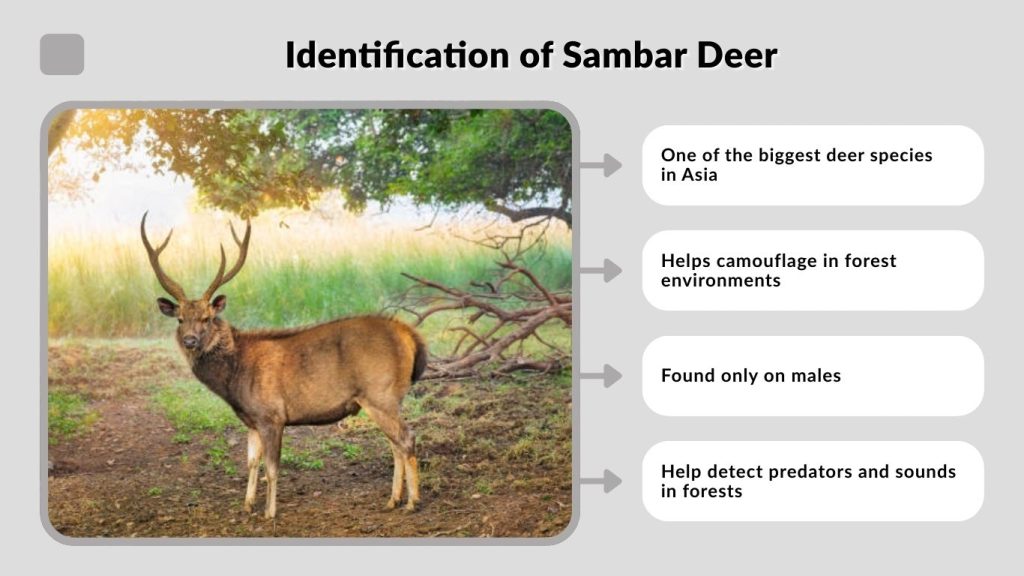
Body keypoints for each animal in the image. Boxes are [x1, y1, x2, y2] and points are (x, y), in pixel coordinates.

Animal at [140, 212, 428, 519]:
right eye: (180, 319)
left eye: (207, 318)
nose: (191, 340)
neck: (234, 378)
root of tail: (410, 335)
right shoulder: (252, 420)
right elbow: (251, 463)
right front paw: (247, 505)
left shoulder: (272, 415)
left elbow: (272, 468)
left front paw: (269, 512)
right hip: (384, 399)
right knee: (394, 444)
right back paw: (393, 500)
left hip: (380, 393)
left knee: (406, 438)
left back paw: (412, 501)